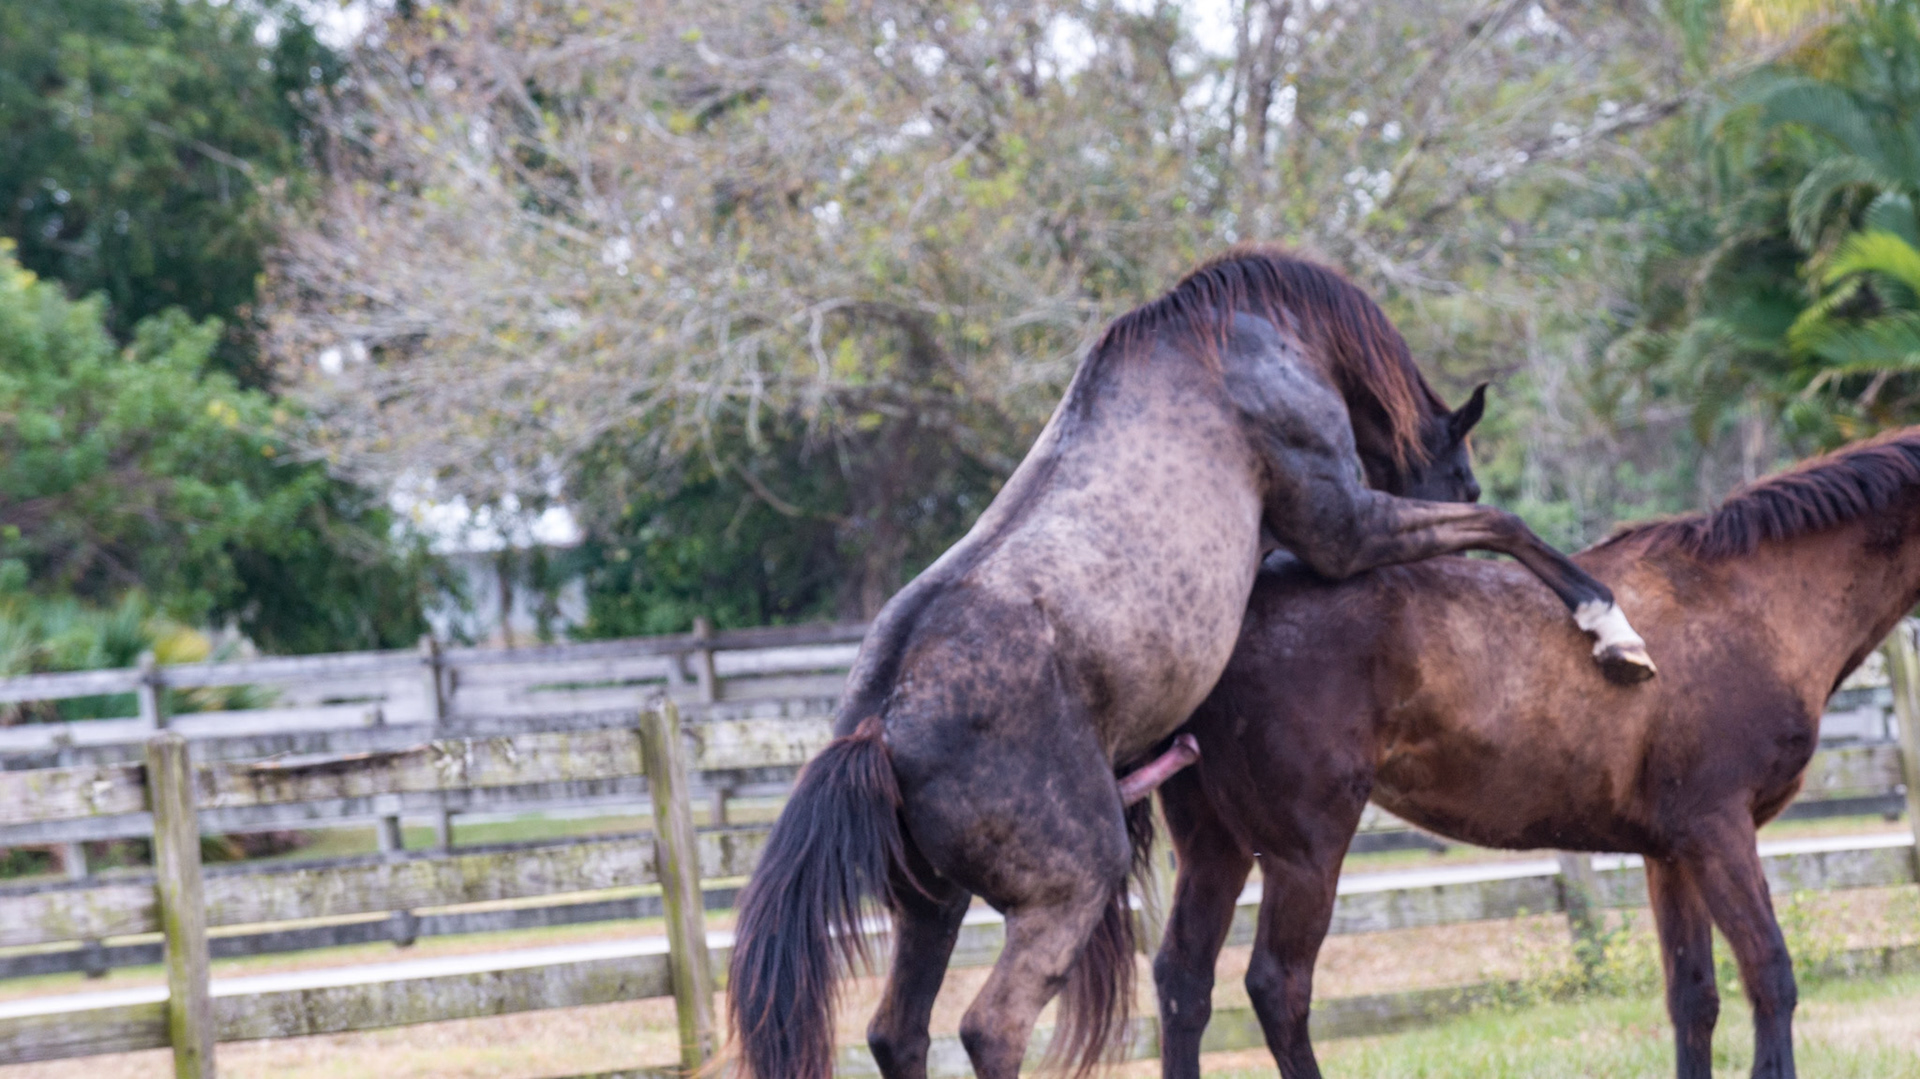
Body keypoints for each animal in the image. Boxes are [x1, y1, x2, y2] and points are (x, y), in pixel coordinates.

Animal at [725, 247, 1654, 1079]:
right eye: (1458, 480)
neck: (1250, 340)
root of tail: (884, 723)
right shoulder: (1343, 529)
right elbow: (1508, 526)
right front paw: (1610, 625)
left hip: (932, 904)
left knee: (899, 1032)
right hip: (1066, 891)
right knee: (993, 1027)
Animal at [1151, 427, 1920, 1079]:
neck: (1748, 605)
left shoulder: (1672, 853)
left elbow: (1694, 1000)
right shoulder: (1719, 831)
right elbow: (1771, 975)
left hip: (1214, 845)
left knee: (1183, 981)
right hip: (1304, 853)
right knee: (1279, 987)